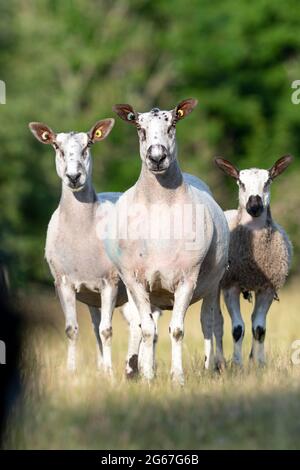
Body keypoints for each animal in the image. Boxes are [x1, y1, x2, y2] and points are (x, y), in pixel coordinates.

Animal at [108, 101, 230, 384]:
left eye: (173, 124)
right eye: (139, 127)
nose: (156, 157)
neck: (160, 205)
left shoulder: (187, 279)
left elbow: (177, 330)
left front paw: (178, 378)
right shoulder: (136, 281)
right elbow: (147, 331)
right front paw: (148, 377)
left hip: (212, 284)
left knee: (209, 324)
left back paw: (210, 367)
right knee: (146, 328)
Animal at [216, 156, 292, 366]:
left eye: (268, 182)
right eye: (240, 183)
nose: (255, 206)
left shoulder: (267, 288)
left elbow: (259, 329)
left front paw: (258, 365)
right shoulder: (231, 286)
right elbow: (237, 329)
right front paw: (237, 364)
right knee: (215, 321)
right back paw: (217, 363)